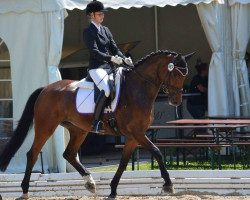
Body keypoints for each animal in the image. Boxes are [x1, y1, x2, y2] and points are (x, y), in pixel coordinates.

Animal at [0, 50, 193, 198]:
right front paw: (168, 185)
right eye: (175, 73)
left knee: (69, 154)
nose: (176, 101)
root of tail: (46, 89)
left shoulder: (133, 136)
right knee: (32, 154)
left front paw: (113, 190)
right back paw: (25, 191)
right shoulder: (136, 132)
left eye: (185, 75)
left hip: (78, 130)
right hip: (46, 126)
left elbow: (123, 163)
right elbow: (157, 152)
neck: (138, 89)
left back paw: (90, 183)